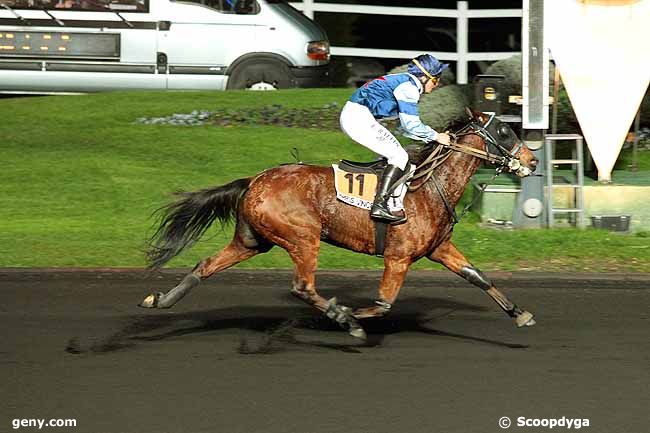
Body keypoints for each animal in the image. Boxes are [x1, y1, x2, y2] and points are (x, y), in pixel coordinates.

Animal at [140, 109, 536, 340]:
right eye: (504, 131)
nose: (531, 161)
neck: (427, 186)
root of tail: (254, 181)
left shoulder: (439, 248)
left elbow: (477, 277)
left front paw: (520, 313)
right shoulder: (399, 257)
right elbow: (383, 303)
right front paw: (352, 314)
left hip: (252, 241)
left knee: (205, 265)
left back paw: (161, 300)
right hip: (303, 238)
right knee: (302, 286)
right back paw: (342, 318)